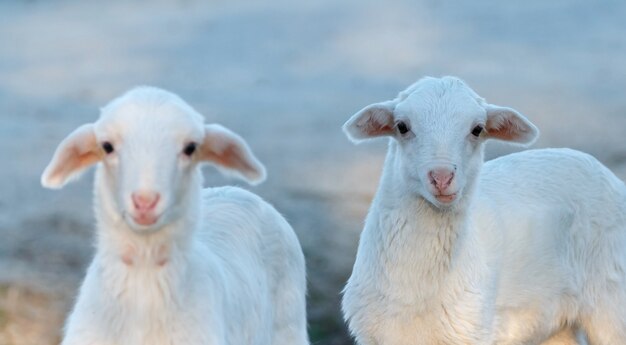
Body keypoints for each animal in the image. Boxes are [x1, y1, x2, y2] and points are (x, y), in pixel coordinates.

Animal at [338, 76, 624, 344]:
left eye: (477, 129)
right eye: (402, 126)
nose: (442, 177)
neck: (413, 292)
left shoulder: (472, 329)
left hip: (613, 301)